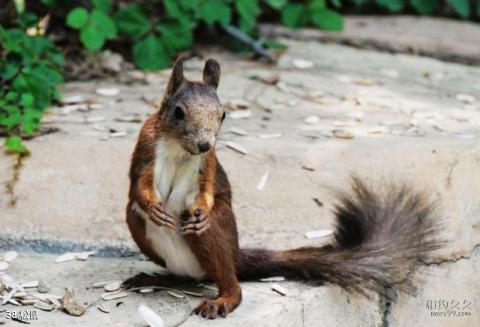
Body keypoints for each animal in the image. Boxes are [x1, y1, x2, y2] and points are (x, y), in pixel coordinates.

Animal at [125, 57, 440, 320]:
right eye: (178, 112)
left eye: (223, 114)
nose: (204, 143)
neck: (180, 149)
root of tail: (235, 255)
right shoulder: (146, 146)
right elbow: (138, 184)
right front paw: (153, 206)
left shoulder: (208, 164)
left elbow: (206, 191)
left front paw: (201, 209)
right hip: (136, 223)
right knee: (183, 272)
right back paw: (155, 279)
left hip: (216, 234)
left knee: (228, 280)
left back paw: (223, 297)